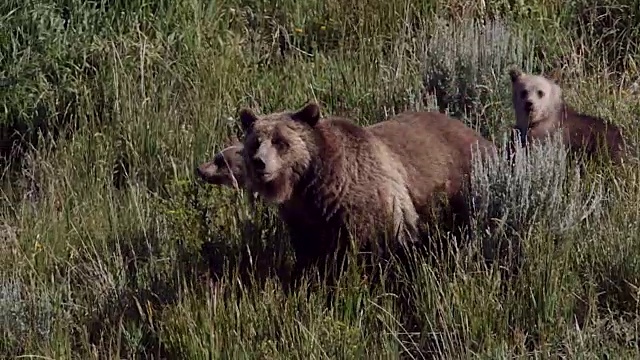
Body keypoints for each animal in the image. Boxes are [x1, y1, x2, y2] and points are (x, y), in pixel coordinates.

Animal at [240, 100, 496, 286]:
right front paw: (304, 279)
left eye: (280, 141)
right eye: (255, 142)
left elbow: (371, 251)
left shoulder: (366, 204)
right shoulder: (303, 215)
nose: (259, 162)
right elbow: (308, 250)